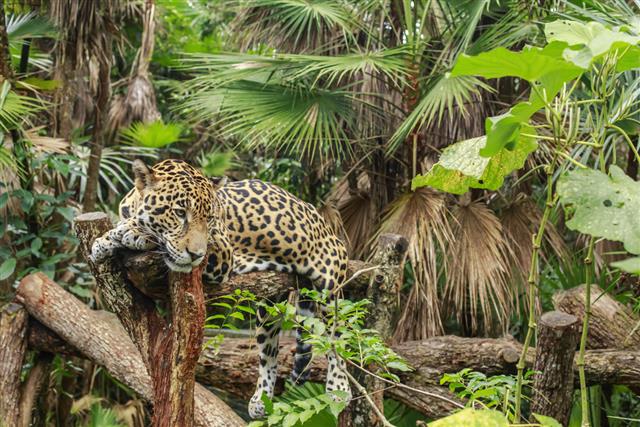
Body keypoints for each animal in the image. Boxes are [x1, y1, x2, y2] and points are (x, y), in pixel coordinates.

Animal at [90, 158, 351, 418]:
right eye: (179, 213)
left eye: (209, 218)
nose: (196, 255)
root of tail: (322, 221)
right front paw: (102, 243)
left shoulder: (222, 252)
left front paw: (133, 232)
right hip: (269, 306)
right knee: (269, 353)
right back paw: (261, 399)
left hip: (330, 282)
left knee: (336, 336)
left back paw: (339, 387)